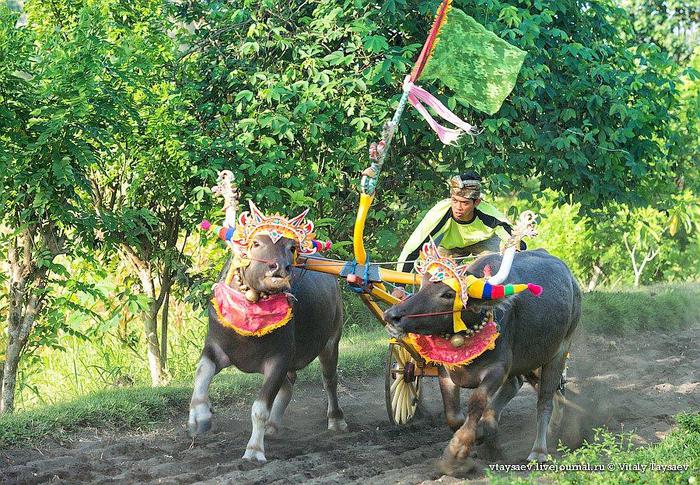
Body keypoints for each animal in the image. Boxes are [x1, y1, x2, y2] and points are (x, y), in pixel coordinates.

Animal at [187, 205, 346, 462]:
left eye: (291, 247)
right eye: (256, 243)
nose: (279, 268)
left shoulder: (279, 359)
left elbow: (259, 408)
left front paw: (254, 450)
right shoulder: (215, 348)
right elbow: (201, 374)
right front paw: (199, 418)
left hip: (332, 340)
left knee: (329, 379)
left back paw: (336, 419)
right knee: (289, 386)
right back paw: (272, 426)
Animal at [382, 248, 580, 470]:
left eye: (448, 294)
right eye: (423, 286)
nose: (391, 315)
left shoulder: (497, 369)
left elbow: (477, 402)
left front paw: (457, 451)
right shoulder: (447, 372)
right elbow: (453, 415)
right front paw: (479, 436)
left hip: (559, 351)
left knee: (545, 399)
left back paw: (540, 449)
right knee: (518, 386)